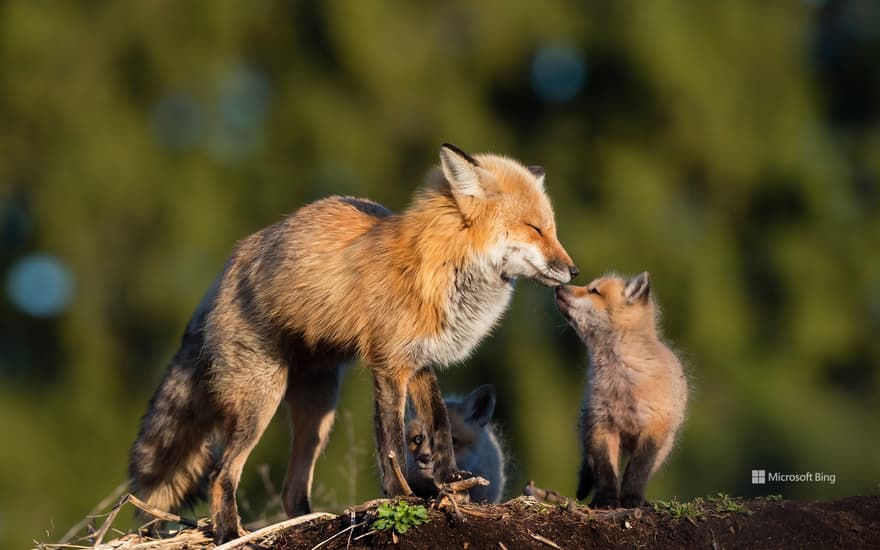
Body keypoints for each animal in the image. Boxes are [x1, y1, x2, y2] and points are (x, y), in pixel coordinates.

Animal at [127, 143, 576, 544]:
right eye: (535, 228)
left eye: (551, 228)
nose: (573, 271)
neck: (441, 266)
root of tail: (226, 268)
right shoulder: (389, 364)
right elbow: (391, 441)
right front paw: (399, 495)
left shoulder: (419, 362)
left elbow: (439, 423)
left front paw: (449, 479)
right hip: (261, 401)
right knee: (222, 474)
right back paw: (228, 535)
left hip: (318, 413)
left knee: (291, 490)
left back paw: (305, 525)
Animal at [556, 274, 688, 512]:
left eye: (594, 291)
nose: (558, 287)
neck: (622, 381)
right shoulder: (602, 424)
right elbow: (605, 470)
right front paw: (606, 500)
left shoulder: (653, 427)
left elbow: (637, 470)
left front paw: (632, 499)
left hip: (664, 446)